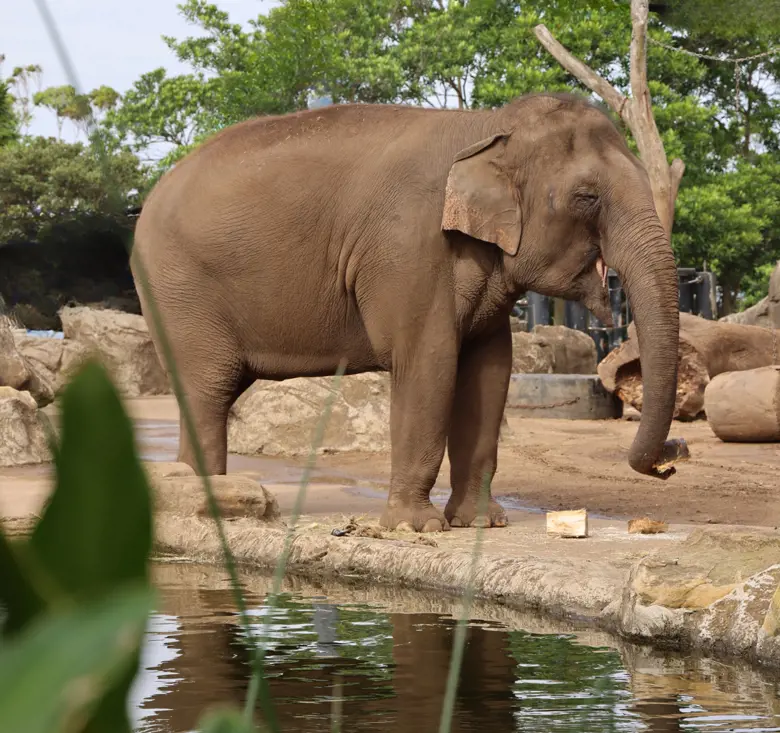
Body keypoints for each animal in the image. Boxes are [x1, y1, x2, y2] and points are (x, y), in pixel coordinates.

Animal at [130, 91, 681, 533]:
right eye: (586, 198)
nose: (669, 461)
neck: (486, 128)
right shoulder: (409, 250)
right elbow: (428, 362)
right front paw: (416, 528)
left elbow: (490, 371)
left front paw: (480, 523)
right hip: (179, 291)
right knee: (207, 390)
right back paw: (211, 503)